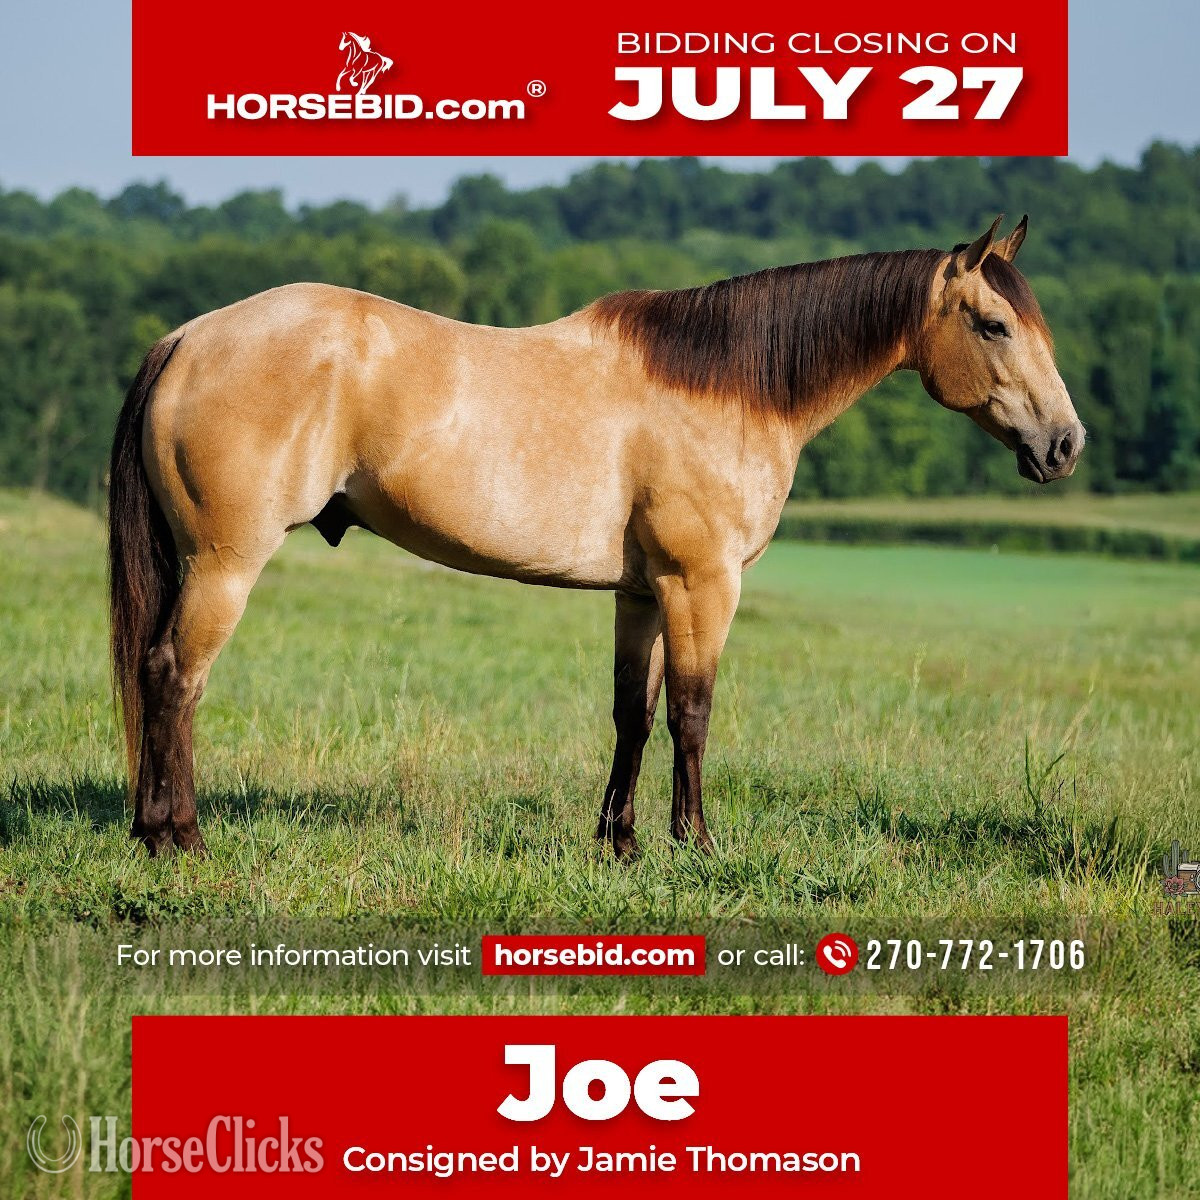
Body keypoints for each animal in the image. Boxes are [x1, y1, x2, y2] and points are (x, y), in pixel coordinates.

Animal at [108, 216, 1084, 858]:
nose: (1064, 445)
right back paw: (178, 837)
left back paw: (151, 830)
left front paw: (619, 841)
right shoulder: (702, 583)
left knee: (160, 676)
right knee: (176, 678)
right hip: (225, 565)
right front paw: (695, 842)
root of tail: (187, 337)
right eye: (994, 324)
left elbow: (634, 714)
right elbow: (693, 711)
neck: (725, 388)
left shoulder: (643, 592)